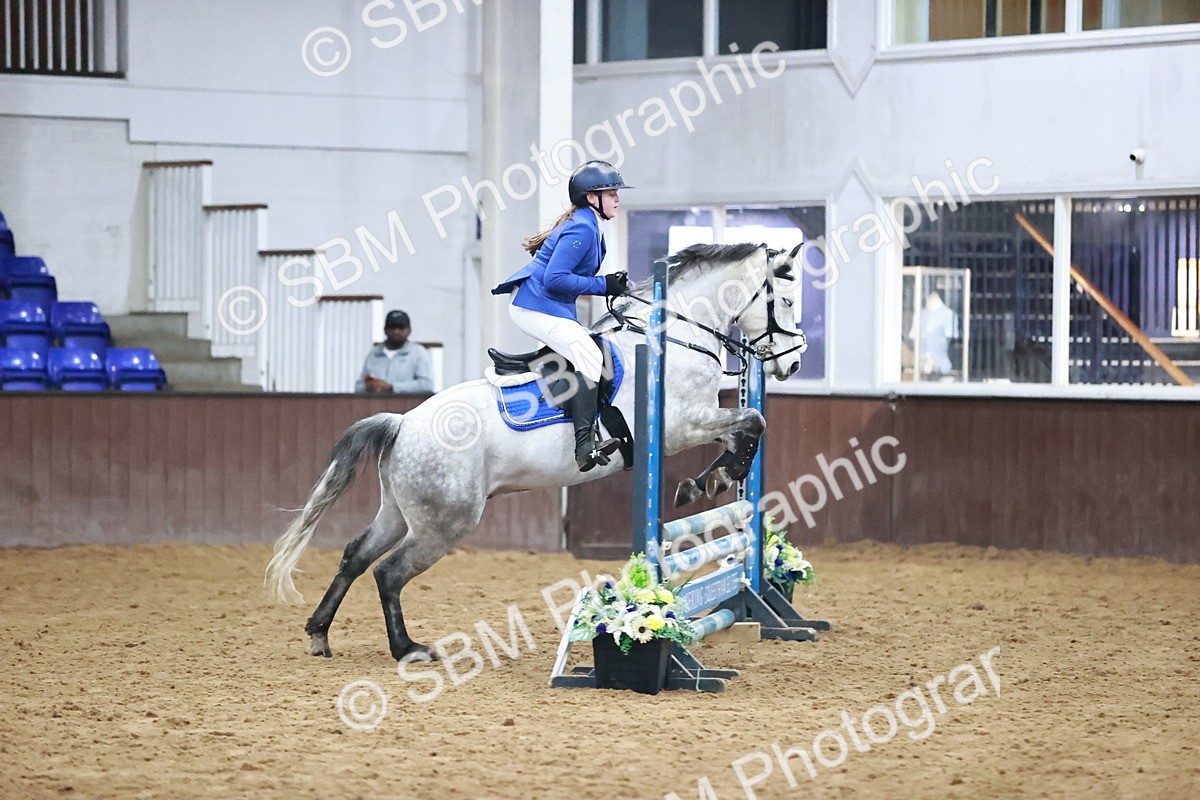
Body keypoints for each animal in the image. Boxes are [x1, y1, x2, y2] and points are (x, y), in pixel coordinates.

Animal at [265, 242, 806, 661]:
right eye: (786, 299)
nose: (795, 362)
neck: (674, 336)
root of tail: (403, 424)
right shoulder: (681, 424)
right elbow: (752, 422)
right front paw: (713, 478)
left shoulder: (696, 421)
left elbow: (744, 430)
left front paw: (709, 479)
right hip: (445, 522)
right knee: (389, 572)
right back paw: (407, 649)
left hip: (401, 512)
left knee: (356, 557)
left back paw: (319, 633)